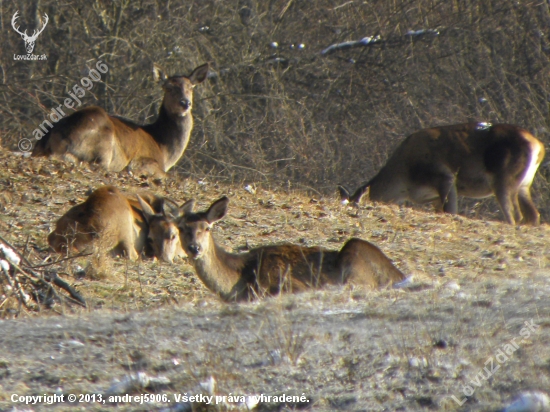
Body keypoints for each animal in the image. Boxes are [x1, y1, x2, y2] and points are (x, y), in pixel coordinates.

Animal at [32, 63, 210, 177]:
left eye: (190, 87)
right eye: (168, 88)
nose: (185, 103)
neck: (163, 149)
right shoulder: (147, 160)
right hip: (103, 143)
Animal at [177, 195, 410, 300]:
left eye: (206, 227)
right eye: (181, 228)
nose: (194, 248)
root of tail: (399, 274)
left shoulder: (287, 281)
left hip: (355, 254)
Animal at [340, 122, 548, 225]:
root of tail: (538, 145)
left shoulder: (444, 177)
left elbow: (451, 211)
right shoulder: (432, 197)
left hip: (504, 179)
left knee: (514, 215)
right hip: (524, 184)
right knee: (533, 214)